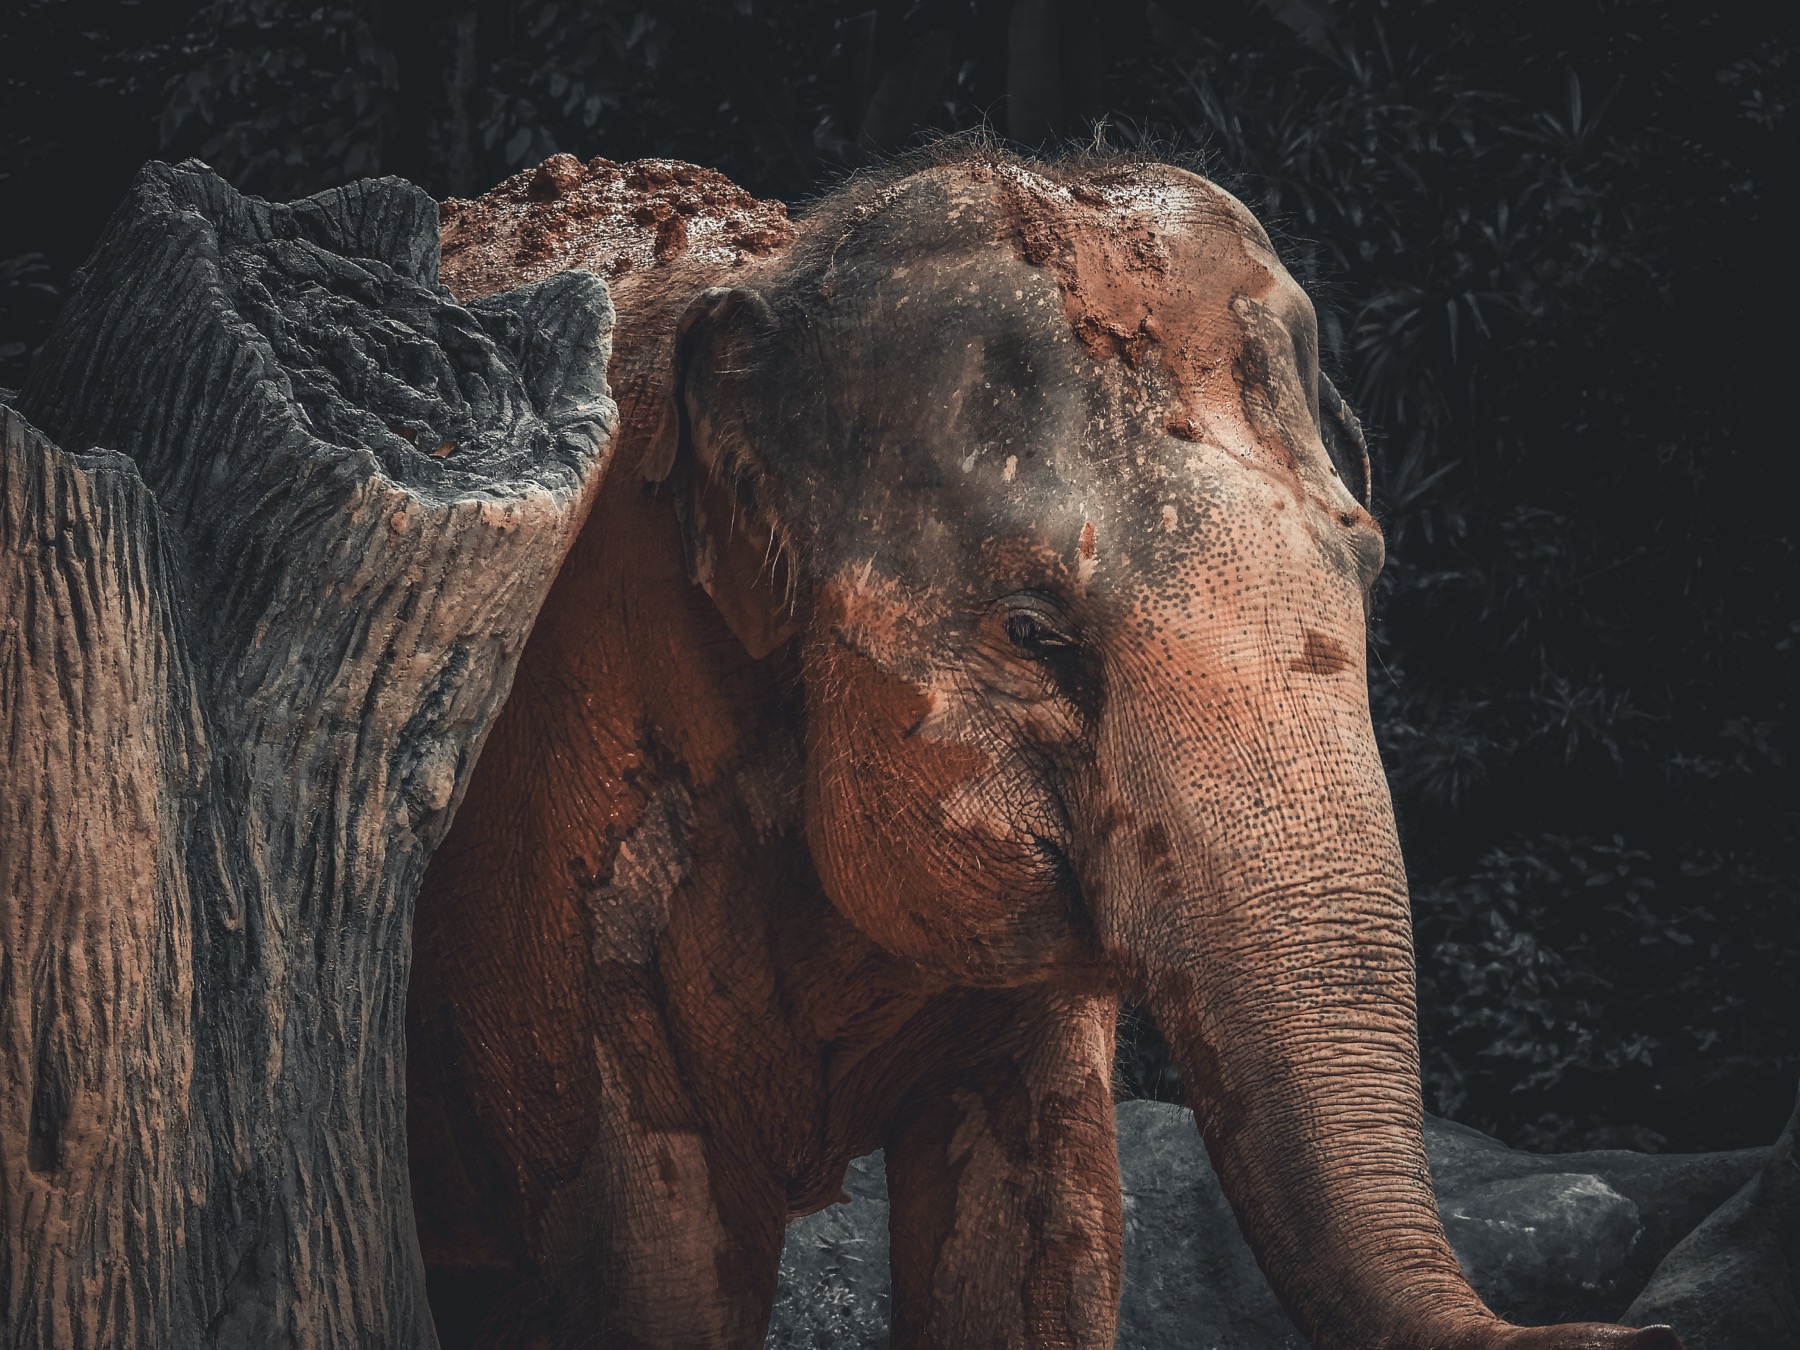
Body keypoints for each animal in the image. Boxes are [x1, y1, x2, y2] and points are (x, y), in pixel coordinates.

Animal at [406, 147, 1684, 1350]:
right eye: (1032, 630)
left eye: (1365, 561)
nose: (1648, 1331)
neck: (779, 274)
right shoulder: (557, 752)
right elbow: (653, 1277)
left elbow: (1043, 1233)